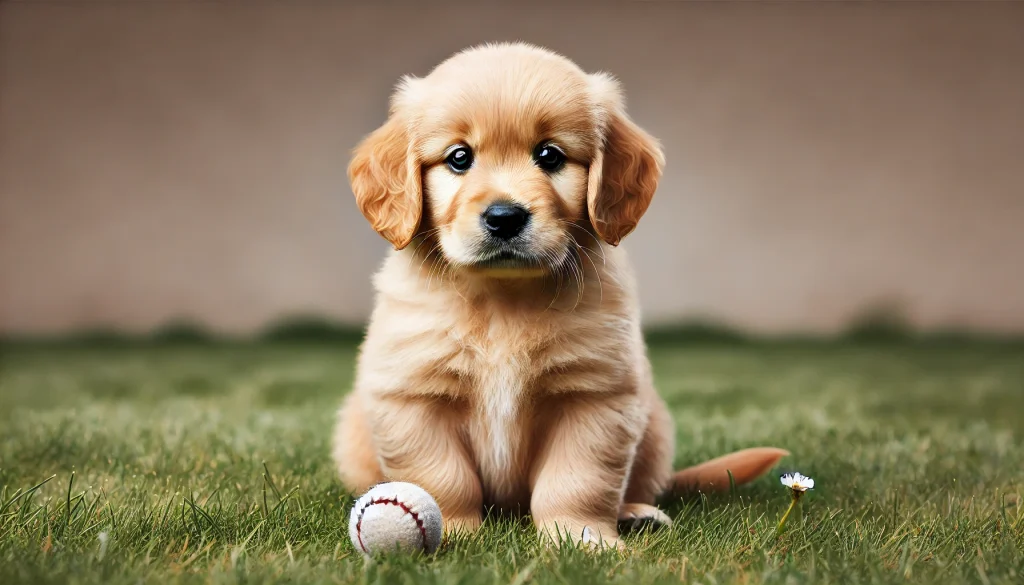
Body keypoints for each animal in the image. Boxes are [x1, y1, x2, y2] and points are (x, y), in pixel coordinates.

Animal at [331, 42, 786, 549]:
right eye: (459, 158)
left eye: (549, 155)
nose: (505, 217)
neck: (503, 300)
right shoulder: (412, 396)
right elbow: (441, 475)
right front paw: (454, 529)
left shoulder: (595, 397)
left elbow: (578, 479)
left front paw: (582, 538)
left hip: (654, 430)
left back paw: (636, 512)